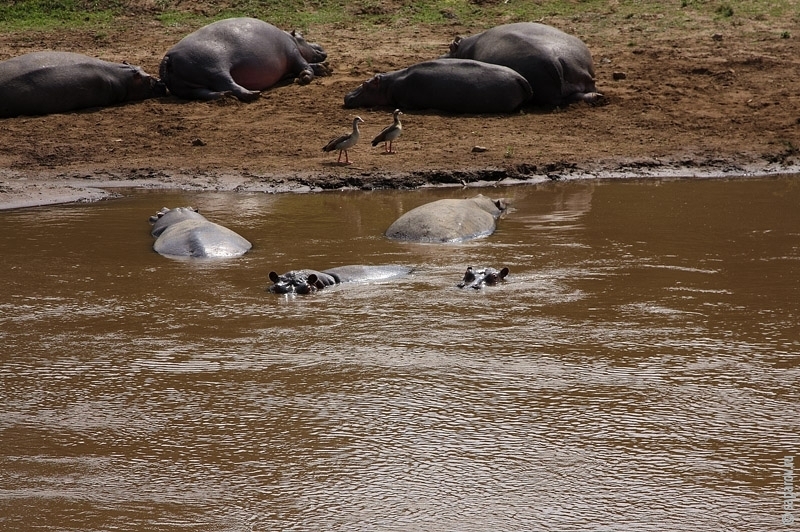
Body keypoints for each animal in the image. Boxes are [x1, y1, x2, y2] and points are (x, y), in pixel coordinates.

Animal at [161, 17, 330, 101]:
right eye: (303, 36)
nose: (321, 47)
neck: (291, 38)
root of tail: (168, 56)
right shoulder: (293, 53)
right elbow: (305, 65)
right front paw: (306, 77)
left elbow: (309, 65)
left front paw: (325, 67)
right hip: (215, 68)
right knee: (229, 84)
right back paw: (253, 94)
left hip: (187, 87)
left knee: (203, 93)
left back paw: (224, 96)